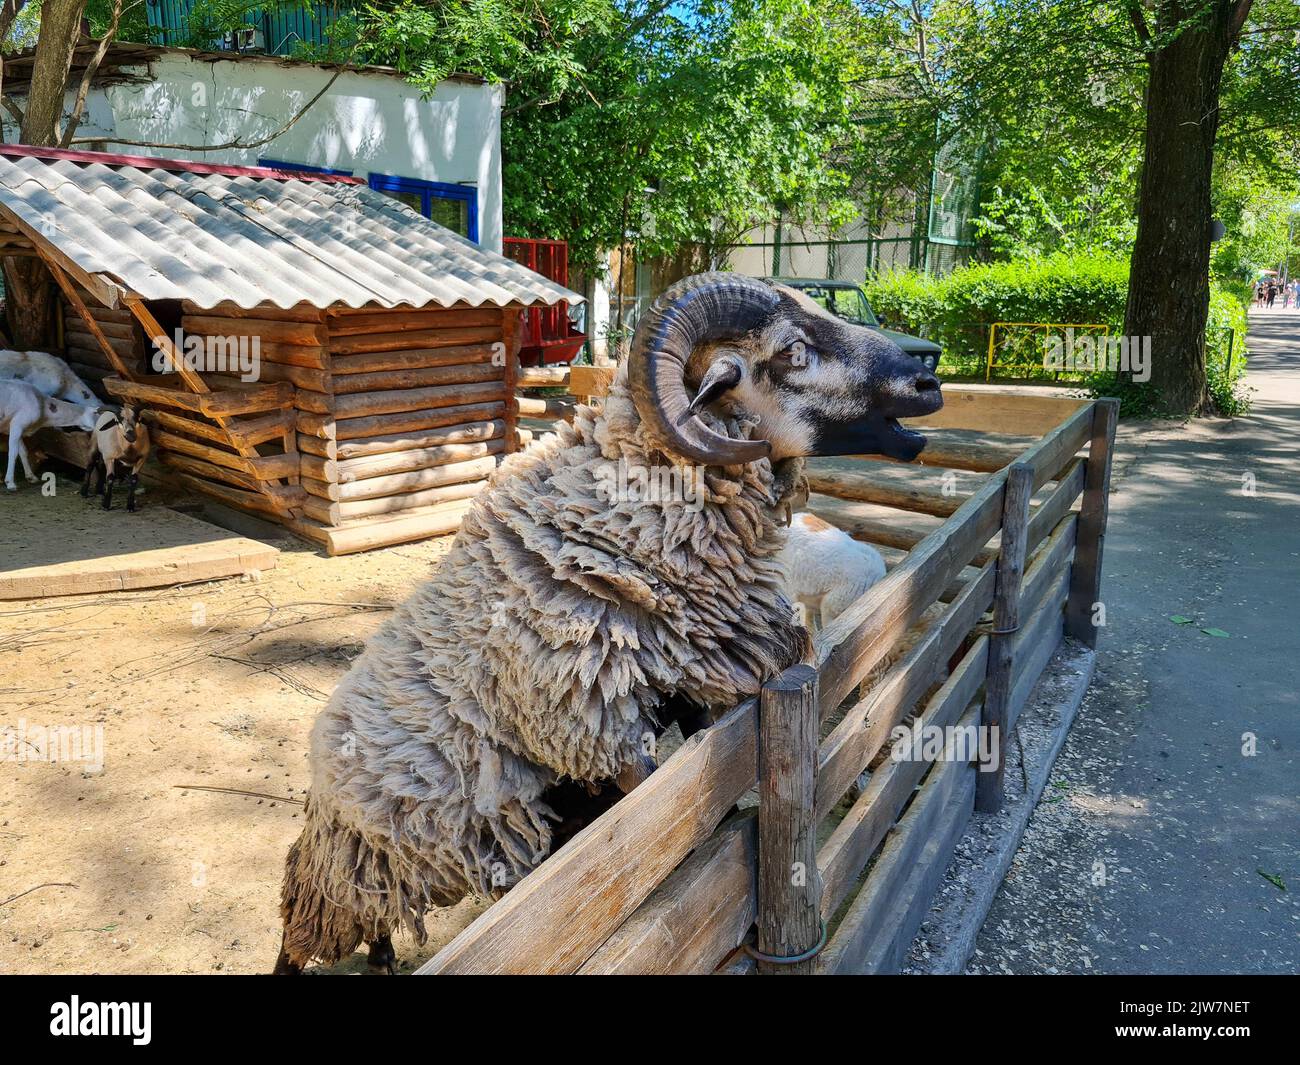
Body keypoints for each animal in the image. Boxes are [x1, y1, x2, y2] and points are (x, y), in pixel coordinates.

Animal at [275, 272, 942, 973]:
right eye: (793, 351)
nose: (929, 381)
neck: (610, 534)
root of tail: (319, 751)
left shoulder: (692, 694)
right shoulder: (603, 733)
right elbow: (660, 828)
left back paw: (381, 958)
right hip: (343, 871)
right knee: (296, 935)